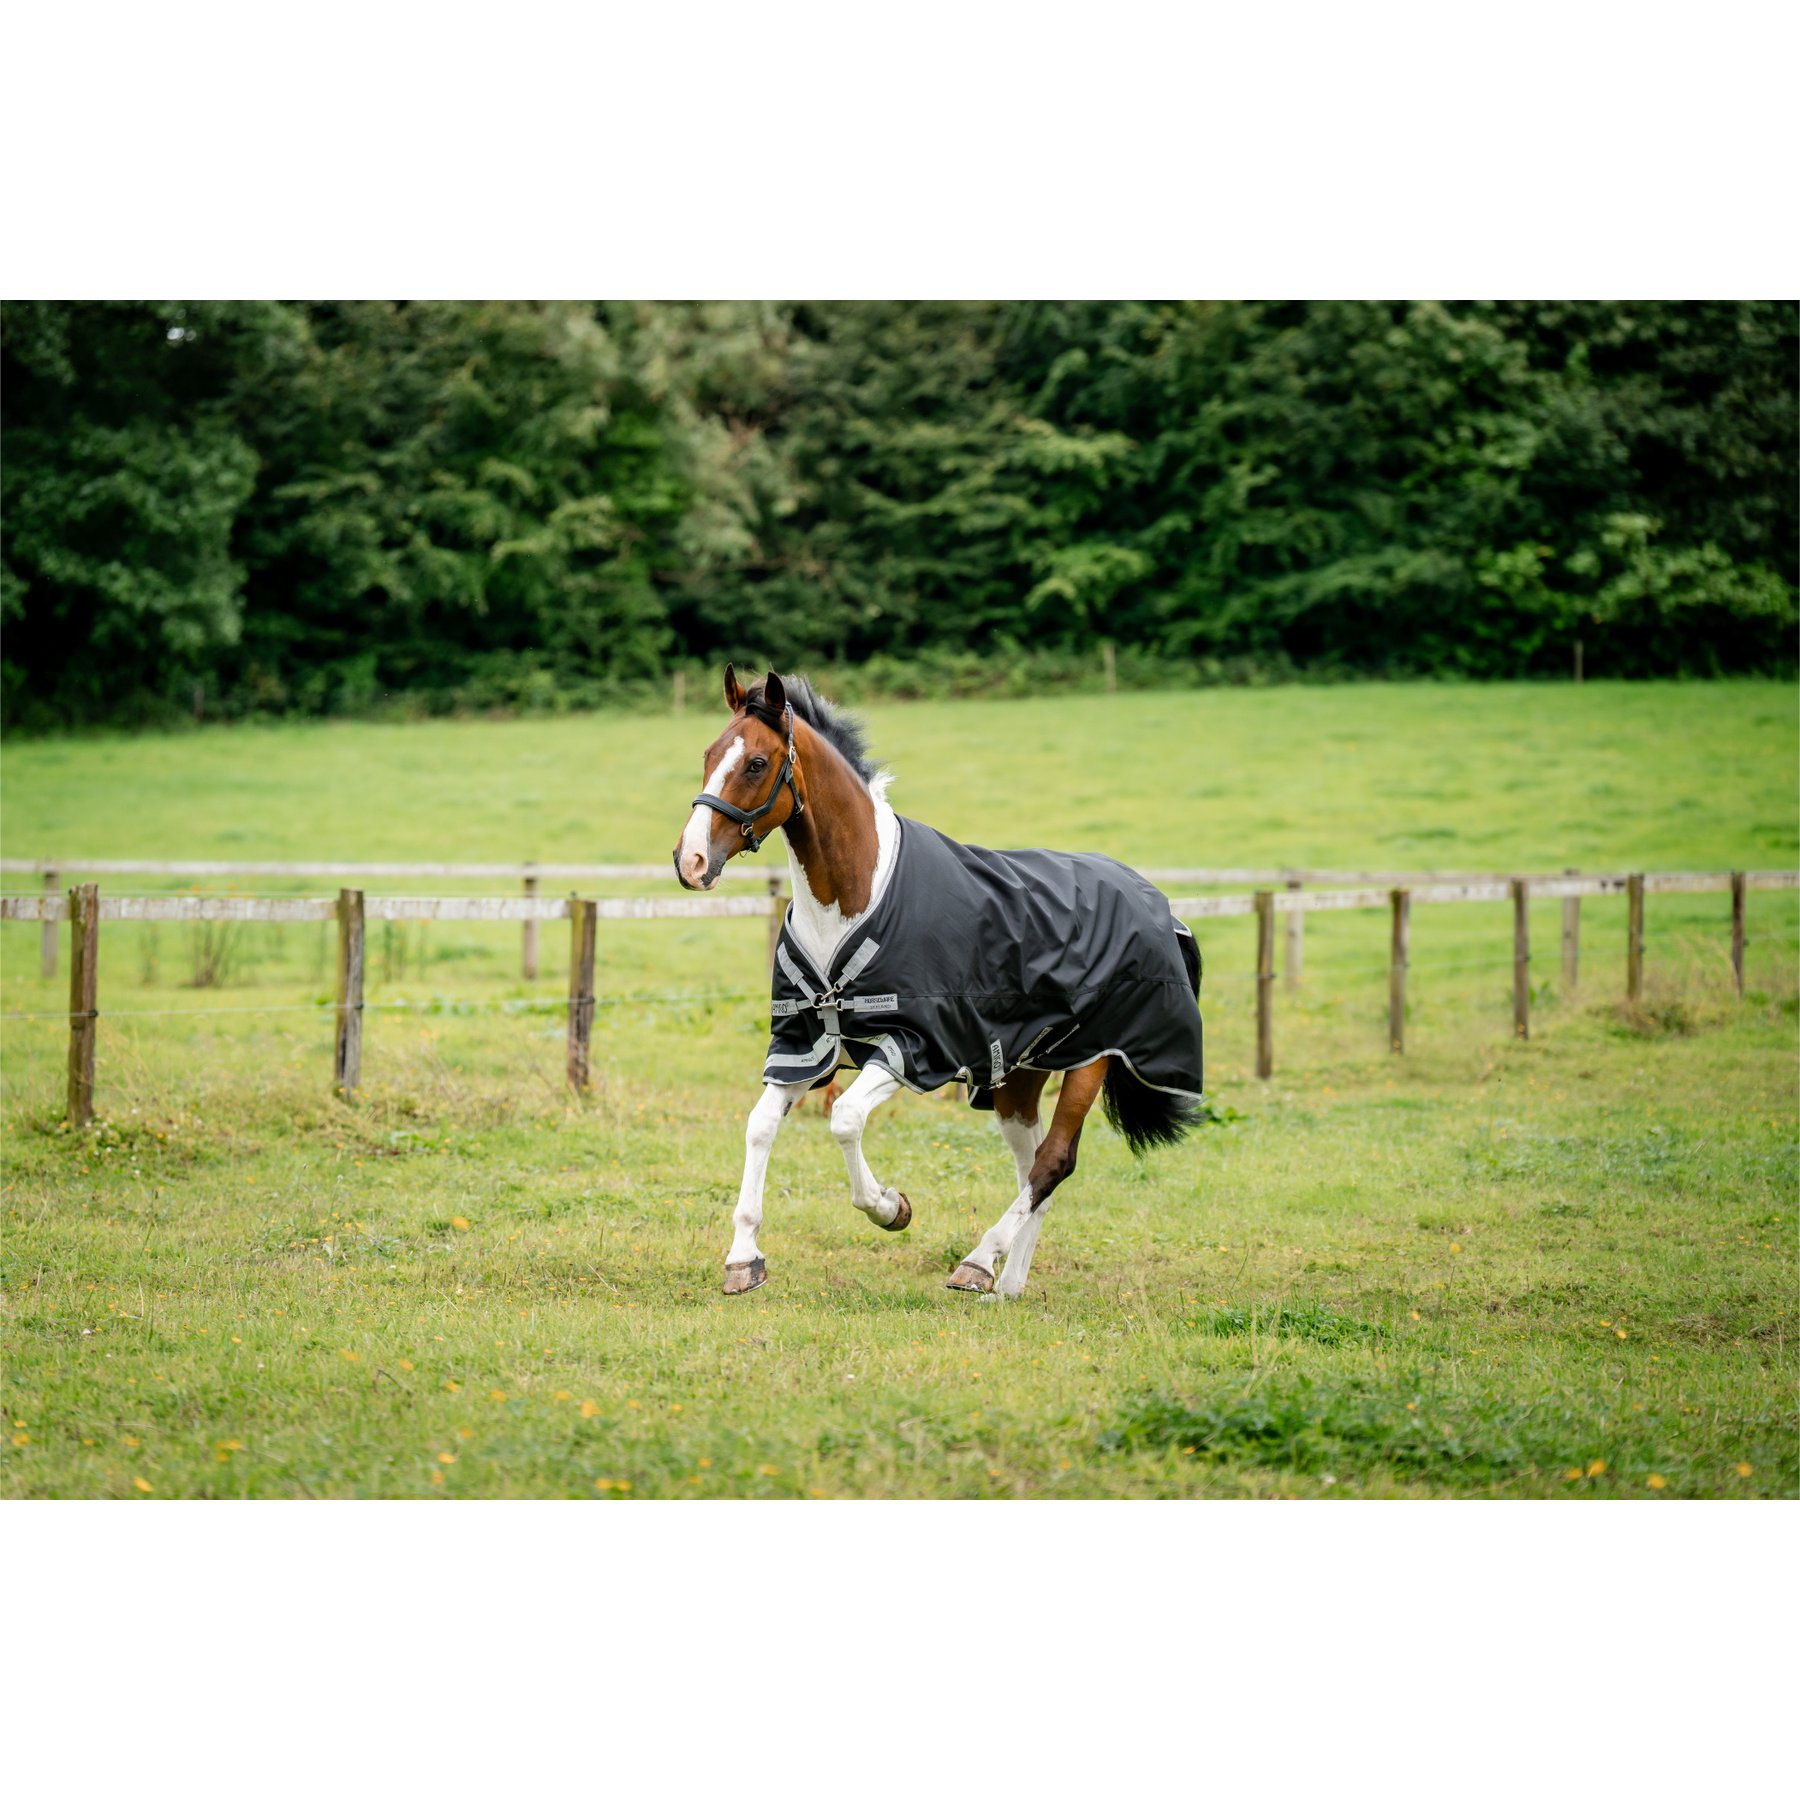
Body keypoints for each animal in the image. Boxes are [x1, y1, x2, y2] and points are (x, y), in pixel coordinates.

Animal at [673, 665, 1205, 1300]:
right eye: (708, 755)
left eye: (756, 762)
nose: (690, 861)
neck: (850, 900)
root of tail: (1156, 902)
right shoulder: (805, 1046)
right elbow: (759, 1126)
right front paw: (743, 1259)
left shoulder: (912, 1047)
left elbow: (844, 1119)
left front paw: (890, 1207)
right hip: (1017, 1076)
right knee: (1034, 1171)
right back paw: (1007, 1285)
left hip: (1093, 1058)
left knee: (1054, 1161)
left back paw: (978, 1263)